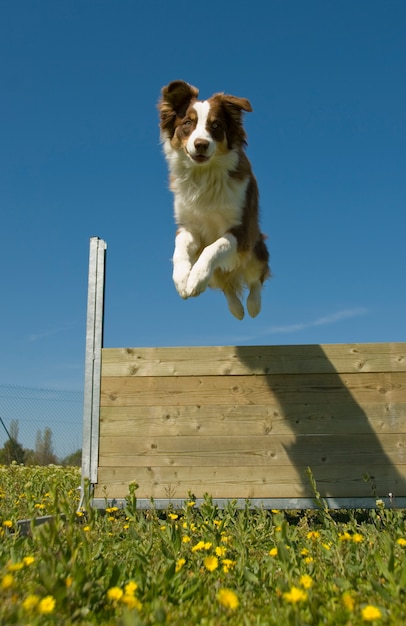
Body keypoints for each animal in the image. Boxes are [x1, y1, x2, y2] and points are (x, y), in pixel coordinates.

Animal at [158, 80, 270, 320]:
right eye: (188, 123)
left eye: (216, 125)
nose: (200, 144)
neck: (204, 174)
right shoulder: (188, 227)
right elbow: (179, 248)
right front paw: (183, 279)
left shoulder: (241, 230)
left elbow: (214, 247)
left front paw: (196, 277)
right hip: (222, 273)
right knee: (227, 287)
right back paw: (236, 309)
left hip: (256, 249)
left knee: (256, 278)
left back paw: (253, 306)